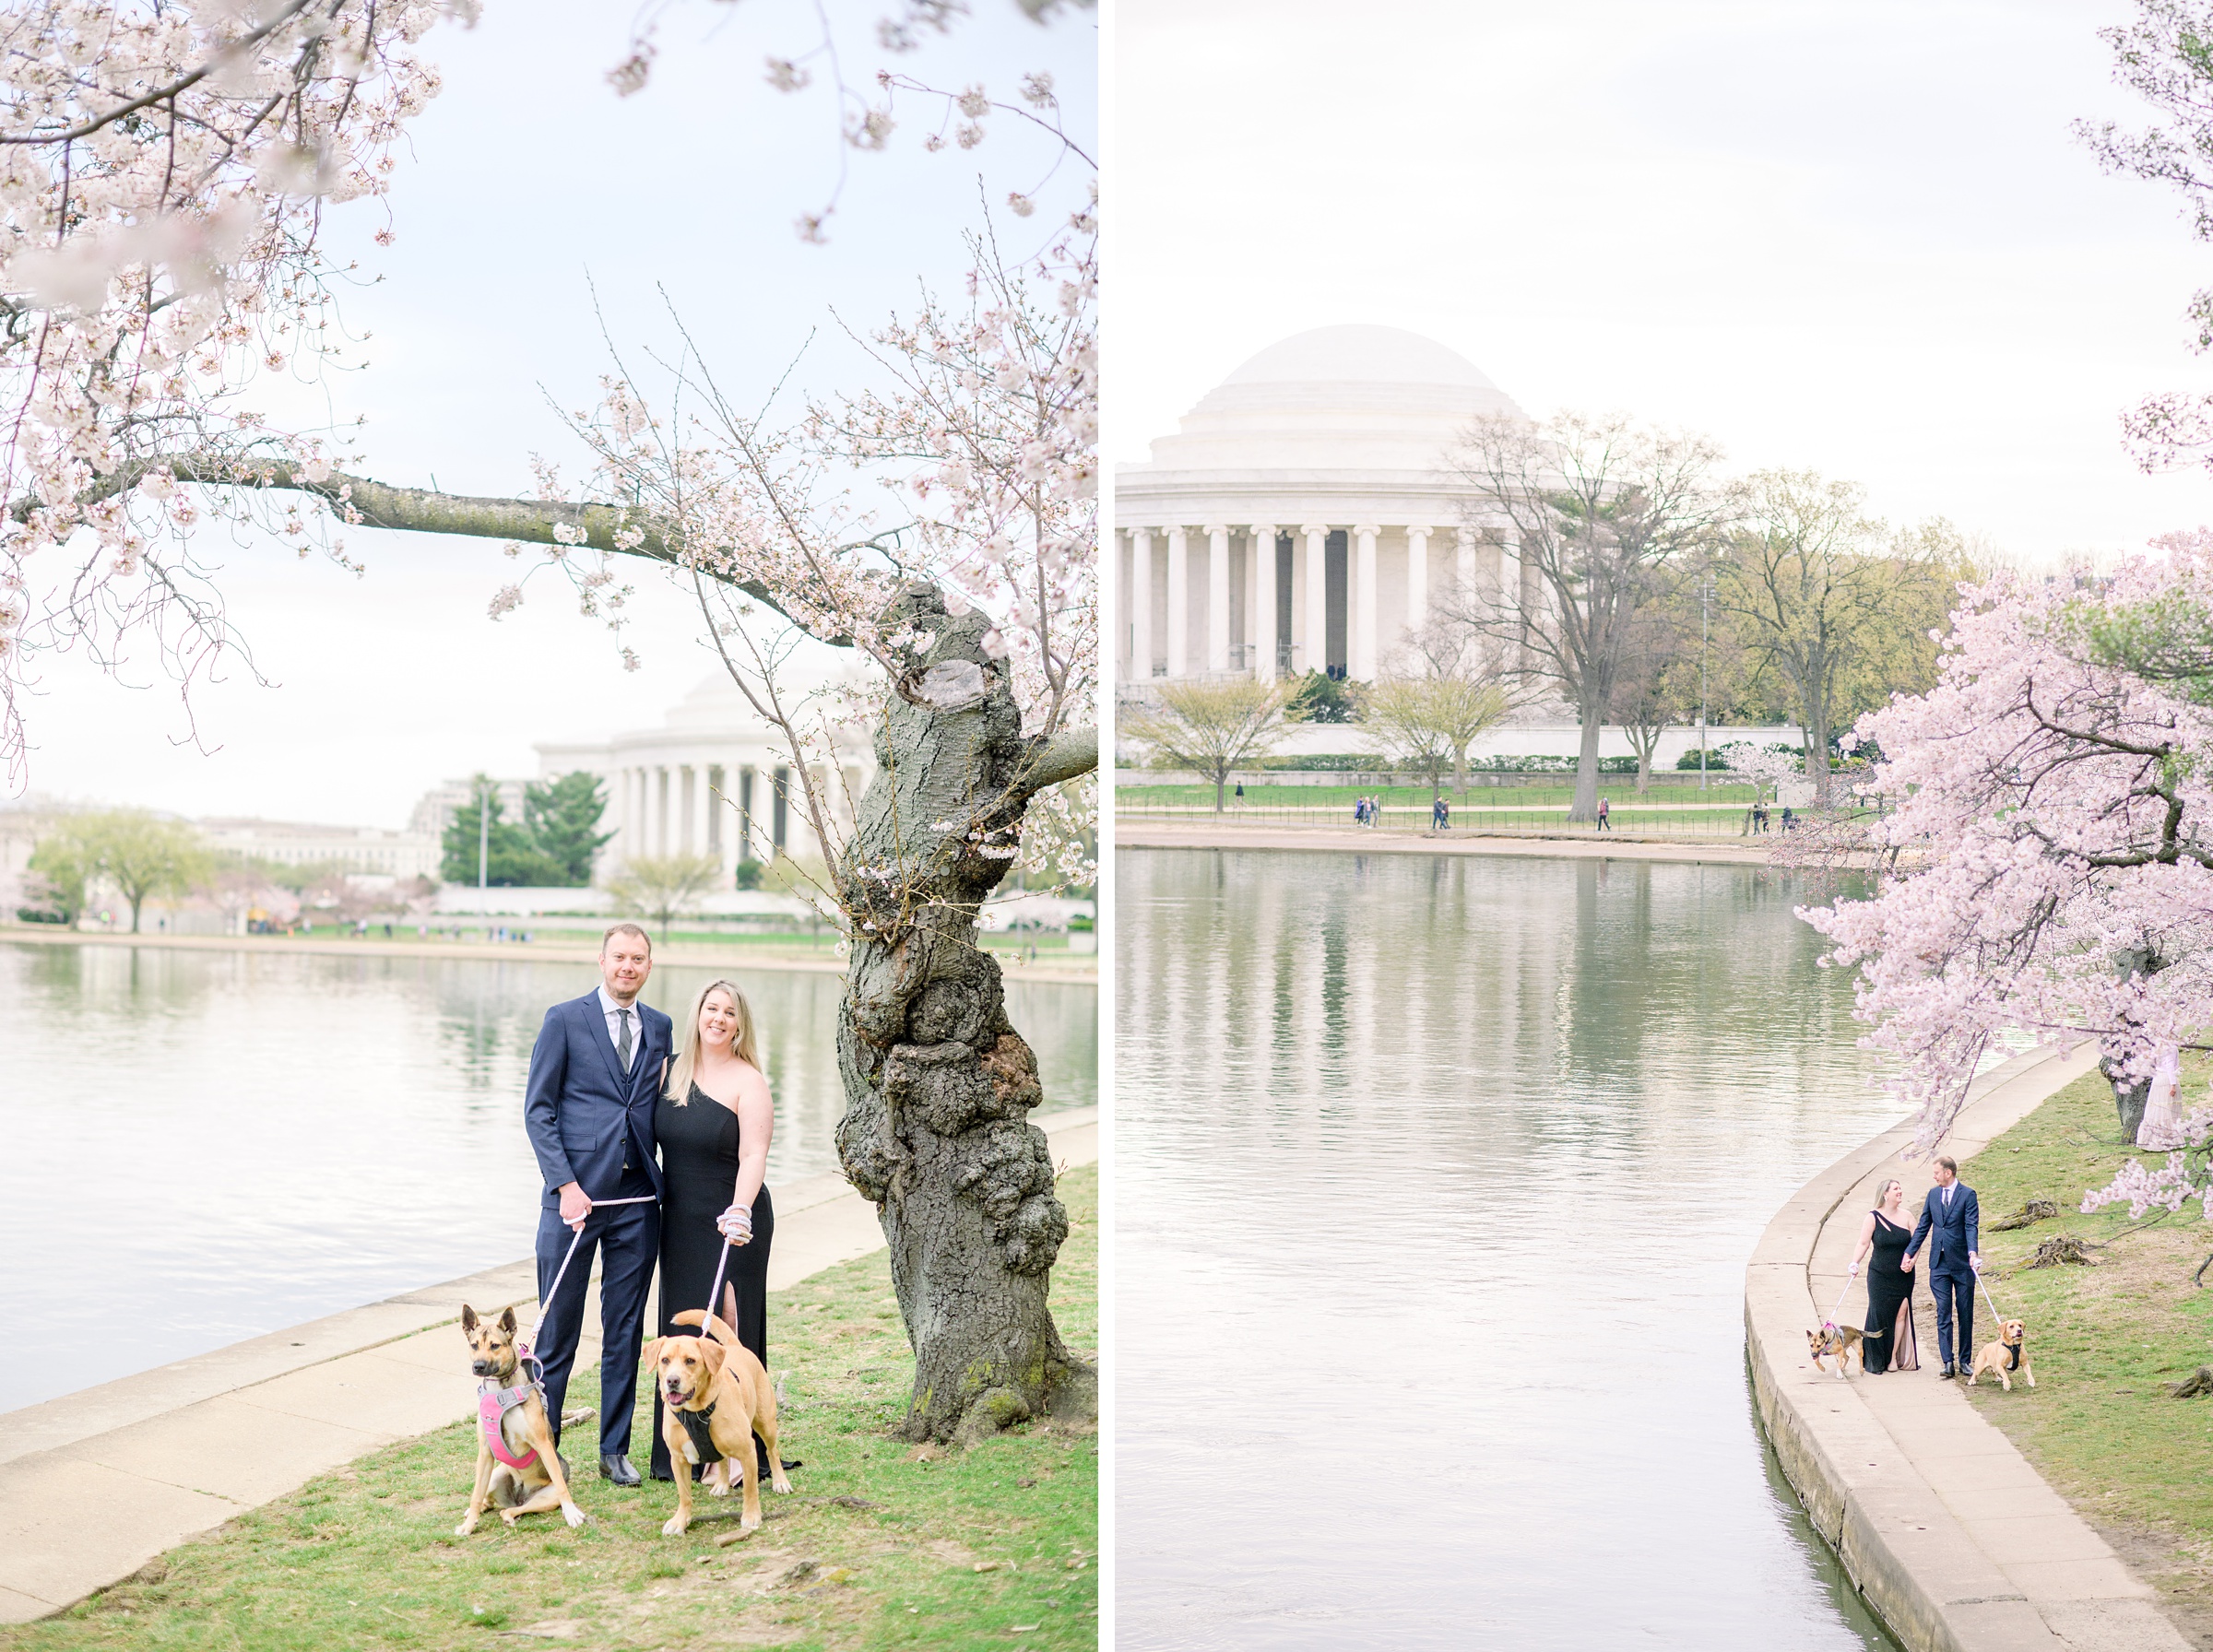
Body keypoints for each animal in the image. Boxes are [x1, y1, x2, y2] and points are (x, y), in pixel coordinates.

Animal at [456, 1309, 584, 1539]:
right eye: (474, 1345)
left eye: (495, 1345)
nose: (478, 1366)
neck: (501, 1392)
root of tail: (518, 1497)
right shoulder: (485, 1451)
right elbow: (476, 1494)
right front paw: (469, 1526)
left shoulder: (543, 1444)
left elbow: (561, 1487)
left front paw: (571, 1513)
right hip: (494, 1476)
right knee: (489, 1500)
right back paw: (477, 1511)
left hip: (546, 1497)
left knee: (509, 1510)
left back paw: (509, 1516)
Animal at [645, 1309, 797, 1548]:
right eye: (665, 1360)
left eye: (690, 1361)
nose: (672, 1380)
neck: (696, 1411)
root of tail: (735, 1346)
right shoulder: (678, 1459)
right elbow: (684, 1495)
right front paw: (680, 1521)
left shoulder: (747, 1451)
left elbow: (750, 1488)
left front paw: (751, 1516)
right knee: (723, 1459)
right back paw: (722, 1484)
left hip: (766, 1423)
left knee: (772, 1451)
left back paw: (780, 1482)